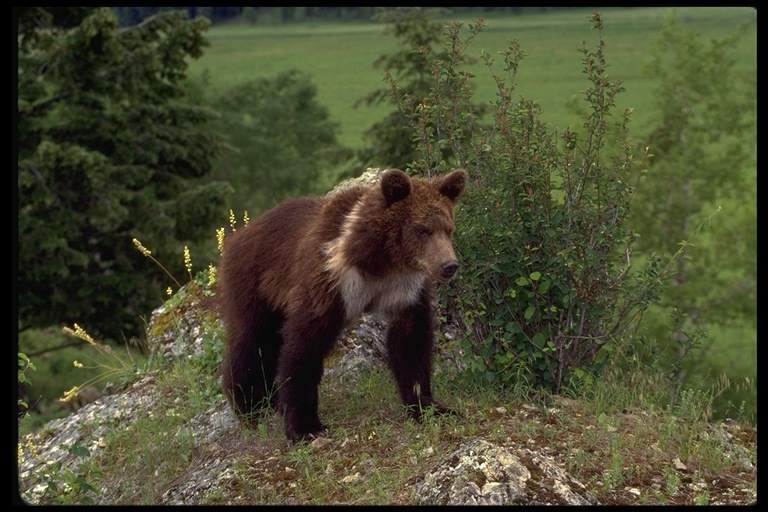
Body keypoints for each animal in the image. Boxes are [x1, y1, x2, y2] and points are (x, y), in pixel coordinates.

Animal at [216, 168, 468, 440]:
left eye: (448, 228)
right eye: (421, 230)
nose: (449, 265)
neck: (380, 262)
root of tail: (239, 234)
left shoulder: (405, 290)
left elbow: (411, 341)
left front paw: (431, 407)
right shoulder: (329, 278)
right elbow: (305, 344)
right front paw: (305, 426)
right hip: (253, 283)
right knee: (252, 341)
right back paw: (251, 405)